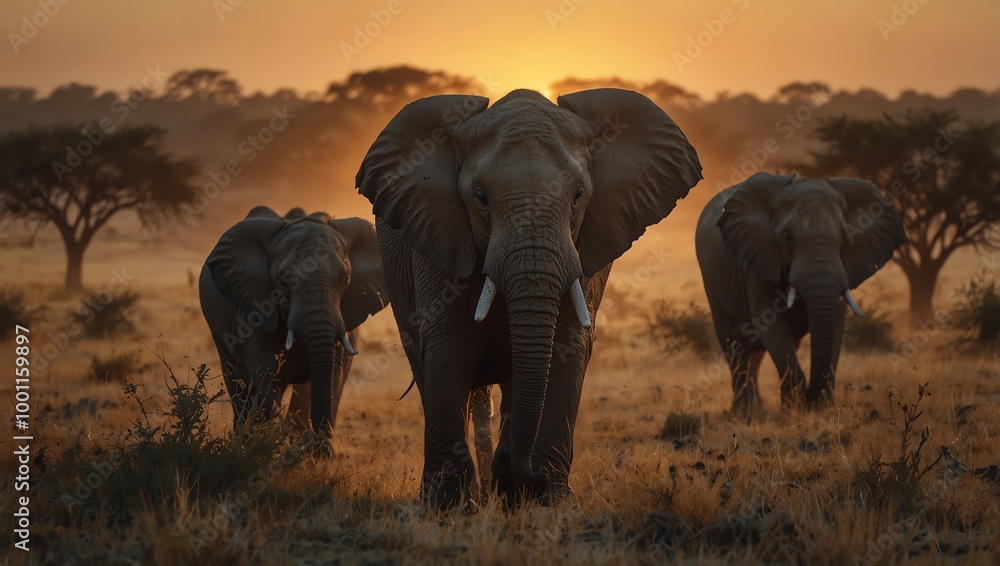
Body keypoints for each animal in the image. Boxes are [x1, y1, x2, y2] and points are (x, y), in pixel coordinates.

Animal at [199, 206, 389, 450]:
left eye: (345, 279)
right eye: (284, 282)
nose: (323, 450)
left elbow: (329, 376)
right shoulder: (254, 310)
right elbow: (267, 378)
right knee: (238, 384)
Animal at [356, 88, 702, 506]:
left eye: (578, 196)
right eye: (481, 198)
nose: (512, 465)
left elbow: (565, 353)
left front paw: (546, 500)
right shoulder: (438, 239)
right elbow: (448, 354)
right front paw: (450, 506)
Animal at [695, 173, 905, 417]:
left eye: (844, 237)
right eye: (786, 237)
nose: (813, 398)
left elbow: (835, 324)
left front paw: (815, 407)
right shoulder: (757, 261)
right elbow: (771, 327)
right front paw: (797, 407)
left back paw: (757, 408)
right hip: (711, 283)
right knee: (734, 344)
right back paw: (744, 412)